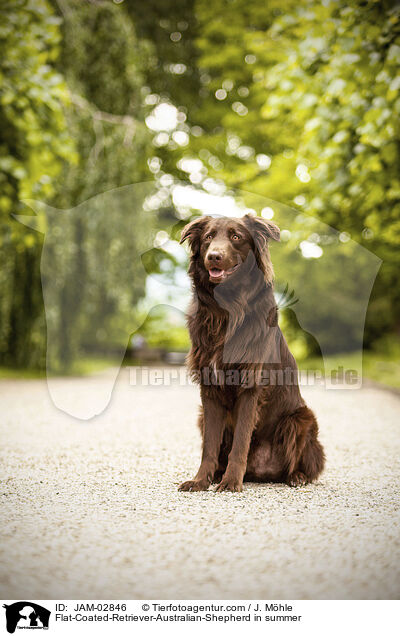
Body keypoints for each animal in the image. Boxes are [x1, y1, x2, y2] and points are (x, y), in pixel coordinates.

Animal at [178, 214, 324, 492]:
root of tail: (261, 473)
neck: (227, 308)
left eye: (236, 237)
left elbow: (240, 442)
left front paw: (231, 482)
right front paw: (201, 480)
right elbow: (209, 447)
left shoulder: (251, 387)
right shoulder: (209, 390)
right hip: (201, 416)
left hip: (301, 418)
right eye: (208, 237)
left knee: (305, 465)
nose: (213, 256)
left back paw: (296, 477)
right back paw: (218, 474)